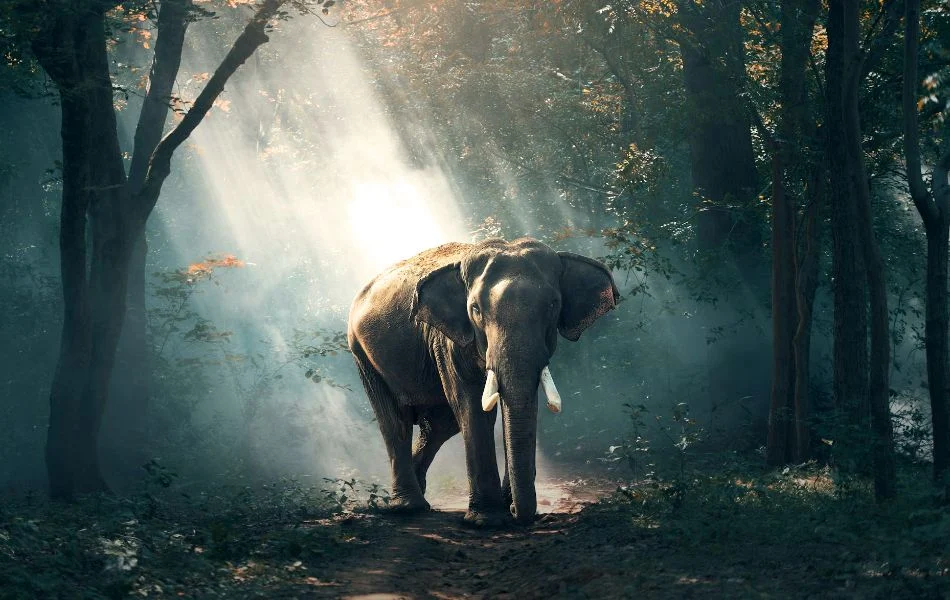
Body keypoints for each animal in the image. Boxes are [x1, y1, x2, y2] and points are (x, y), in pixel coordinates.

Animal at [347, 237, 618, 525]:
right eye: (475, 309)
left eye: (554, 305)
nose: (516, 511)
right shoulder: (449, 341)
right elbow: (472, 405)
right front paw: (486, 520)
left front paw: (503, 507)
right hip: (362, 354)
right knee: (395, 421)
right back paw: (407, 507)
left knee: (440, 425)